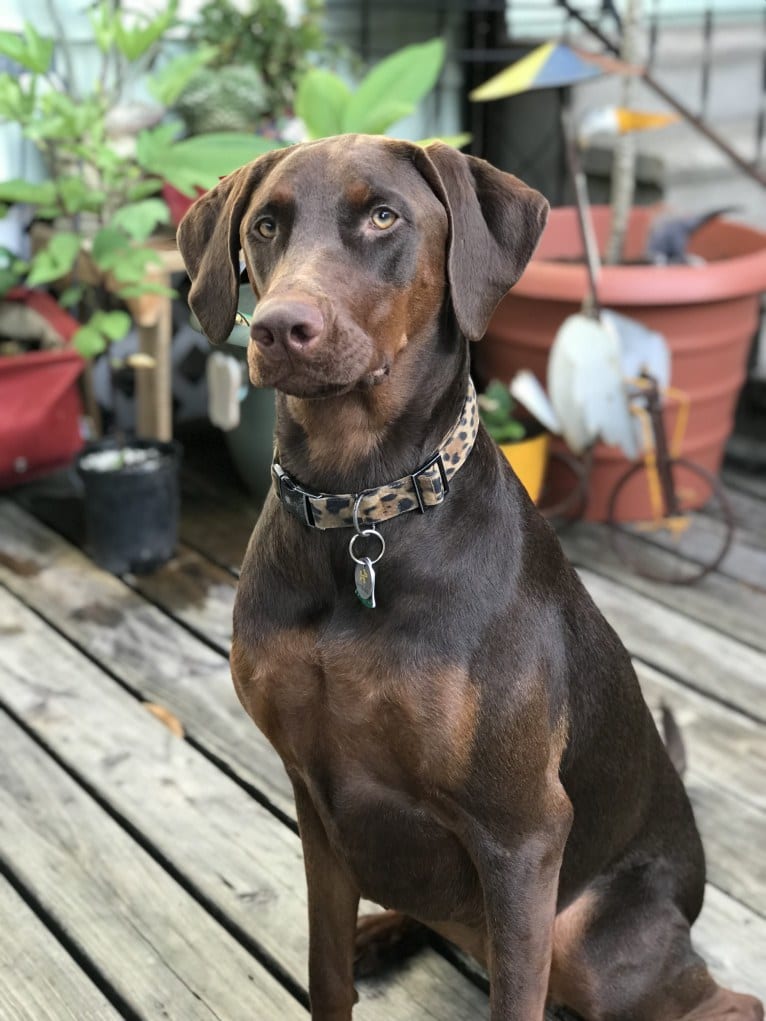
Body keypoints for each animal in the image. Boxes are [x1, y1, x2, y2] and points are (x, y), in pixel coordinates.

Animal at [178, 137, 763, 1021]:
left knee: (712, 996)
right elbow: (326, 972)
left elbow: (515, 994)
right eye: (266, 225)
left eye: (384, 215)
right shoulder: (316, 800)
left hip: (585, 935)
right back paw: (383, 930)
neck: (361, 512)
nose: (281, 327)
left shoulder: (522, 831)